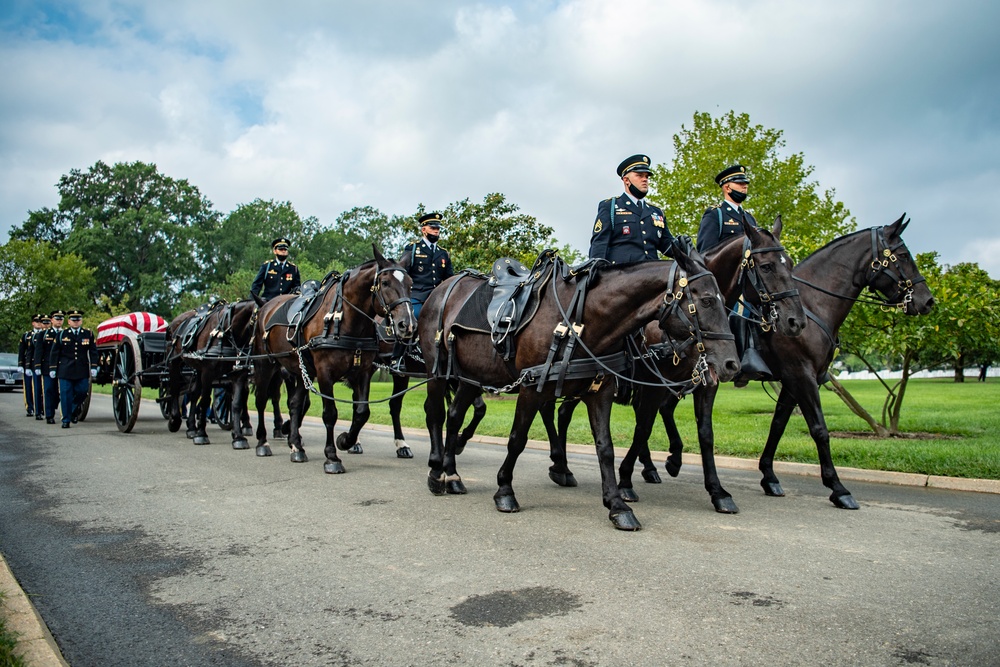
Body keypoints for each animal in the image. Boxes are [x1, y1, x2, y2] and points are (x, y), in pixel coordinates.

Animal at [418, 243, 740, 528]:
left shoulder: (601, 391)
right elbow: (517, 439)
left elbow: (606, 447)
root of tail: (443, 287)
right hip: (439, 374)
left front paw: (617, 504)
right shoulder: (531, 388)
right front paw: (505, 491)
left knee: (455, 415)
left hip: (473, 377)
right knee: (436, 413)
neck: (582, 320)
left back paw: (452, 474)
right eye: (707, 300)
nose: (732, 364)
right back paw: (436, 472)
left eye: (724, 301)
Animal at [660, 217, 932, 508]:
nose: (927, 301)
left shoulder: (794, 380)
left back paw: (670, 461)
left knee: (664, 408)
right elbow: (819, 429)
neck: (814, 305)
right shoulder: (801, 375)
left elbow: (778, 425)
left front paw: (769, 476)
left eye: (789, 263)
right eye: (903, 256)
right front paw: (838, 488)